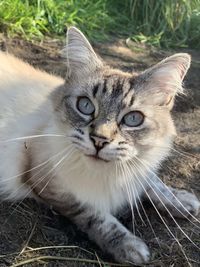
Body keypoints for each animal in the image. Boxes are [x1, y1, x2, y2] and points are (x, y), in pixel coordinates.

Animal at [0, 27, 199, 266]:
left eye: (133, 119)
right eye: (85, 106)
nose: (99, 140)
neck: (110, 173)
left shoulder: (136, 169)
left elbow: (154, 183)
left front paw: (183, 201)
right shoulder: (51, 183)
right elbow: (98, 217)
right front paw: (131, 247)